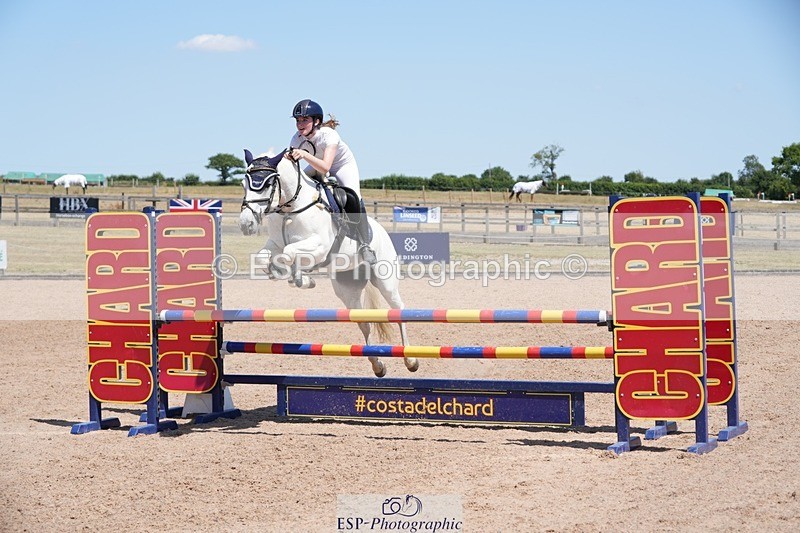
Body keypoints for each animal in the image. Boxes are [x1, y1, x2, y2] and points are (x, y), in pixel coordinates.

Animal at [238, 149, 418, 378]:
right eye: (244, 183)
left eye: (268, 183)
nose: (246, 224)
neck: (291, 208)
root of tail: (381, 230)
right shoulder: (276, 244)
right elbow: (267, 257)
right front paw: (291, 276)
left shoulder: (320, 245)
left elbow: (289, 253)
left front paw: (301, 279)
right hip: (347, 291)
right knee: (365, 323)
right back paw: (378, 365)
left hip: (385, 281)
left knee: (398, 311)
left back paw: (410, 360)